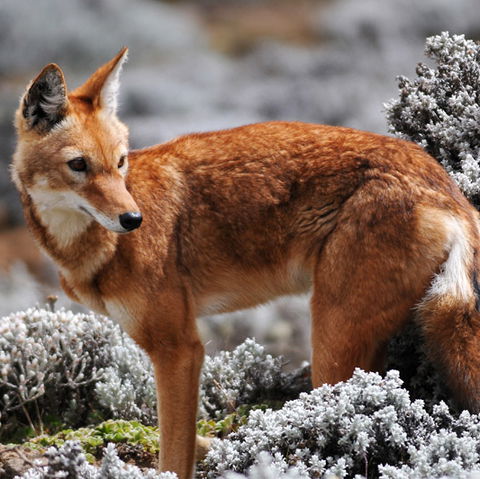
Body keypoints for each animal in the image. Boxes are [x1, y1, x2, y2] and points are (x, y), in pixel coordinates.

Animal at [12, 49, 480, 479]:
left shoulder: (179, 349)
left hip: (331, 348)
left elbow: (173, 454)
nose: (133, 219)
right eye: (79, 165)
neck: (90, 249)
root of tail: (449, 191)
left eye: (120, 162)